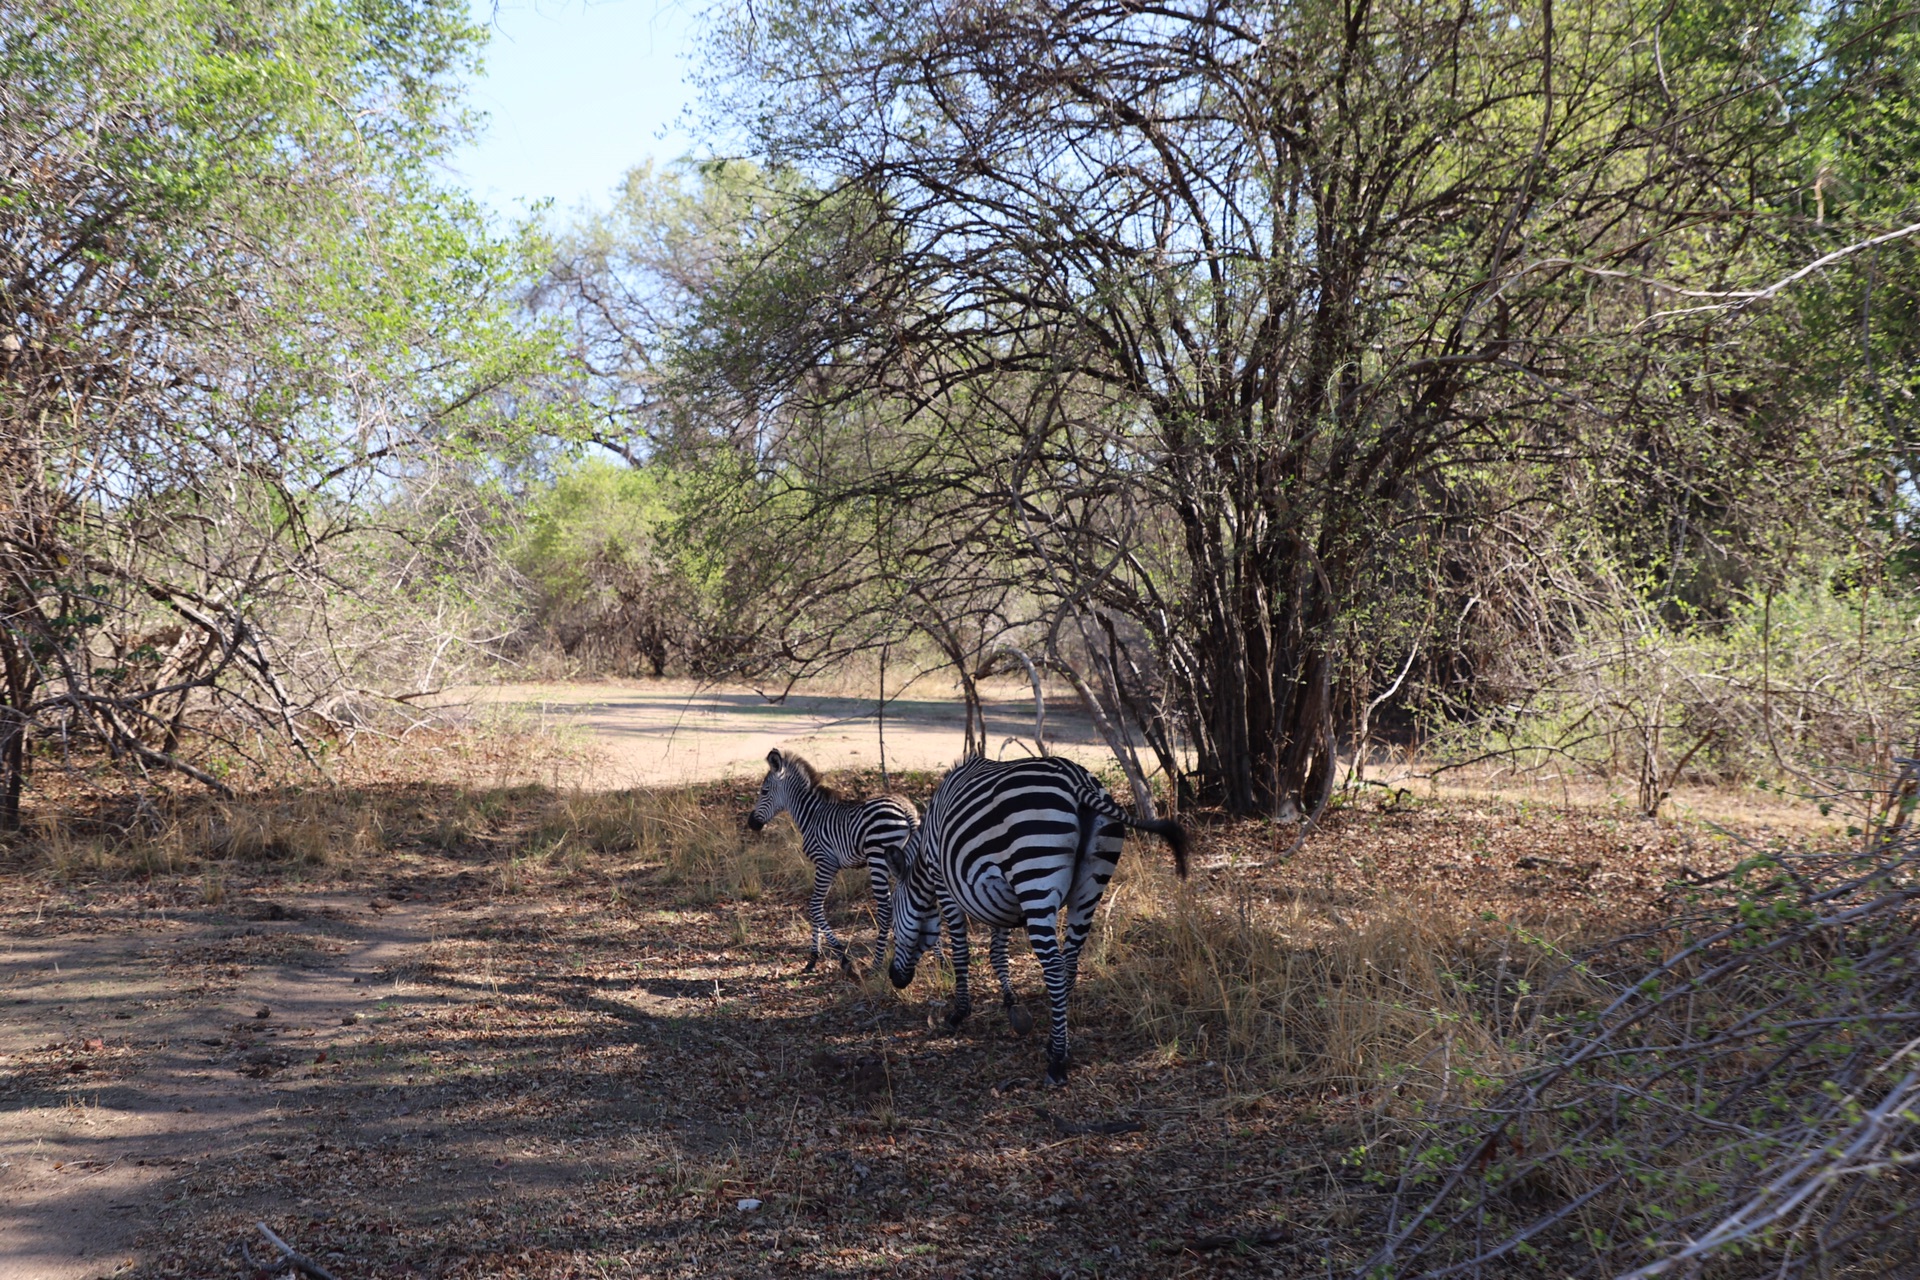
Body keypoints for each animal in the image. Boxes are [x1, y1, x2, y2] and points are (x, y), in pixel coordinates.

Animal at [741, 752, 913, 971]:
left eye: (764, 791)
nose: (751, 824)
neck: (811, 815)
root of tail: (906, 809)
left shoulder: (825, 863)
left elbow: (814, 905)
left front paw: (842, 958)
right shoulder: (825, 866)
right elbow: (817, 904)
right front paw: (813, 958)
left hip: (878, 860)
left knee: (886, 909)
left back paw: (876, 964)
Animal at [883, 756, 1182, 1090]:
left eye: (893, 921)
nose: (894, 978)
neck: (925, 855)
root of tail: (1078, 781)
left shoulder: (944, 882)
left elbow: (961, 951)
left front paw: (959, 1013)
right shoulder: (999, 894)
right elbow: (997, 951)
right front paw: (1012, 1003)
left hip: (1035, 876)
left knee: (1053, 965)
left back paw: (1057, 1061)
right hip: (1090, 886)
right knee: (1070, 962)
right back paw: (1056, 1043)